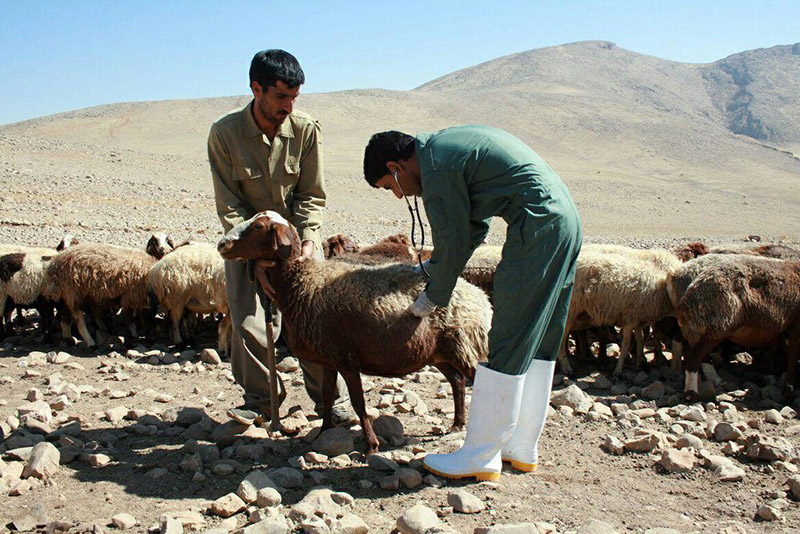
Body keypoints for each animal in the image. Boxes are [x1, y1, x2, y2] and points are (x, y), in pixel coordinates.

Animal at [219, 211, 494, 454]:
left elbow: (359, 404)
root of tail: (480, 298)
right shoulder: (328, 360)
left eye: (258, 226)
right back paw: (457, 423)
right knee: (457, 381)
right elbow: (327, 397)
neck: (303, 283)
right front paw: (324, 432)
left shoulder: (346, 359)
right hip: (437, 353)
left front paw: (371, 445)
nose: (223, 244)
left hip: (463, 347)